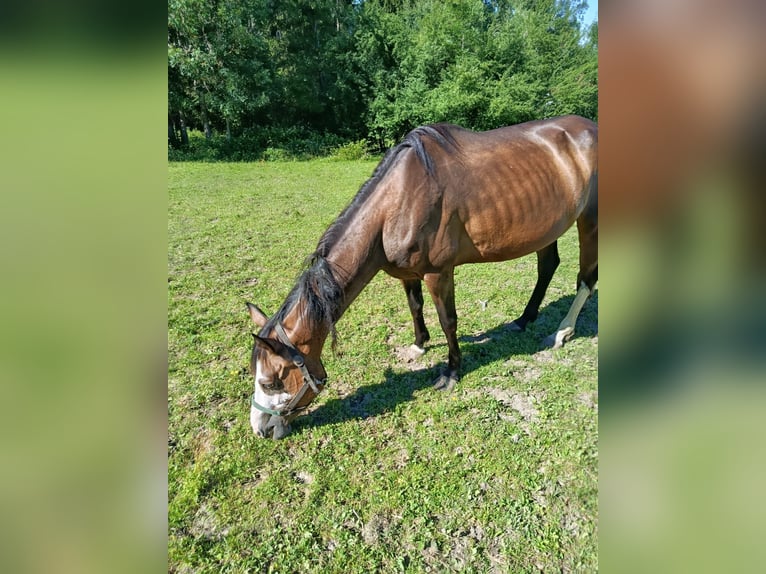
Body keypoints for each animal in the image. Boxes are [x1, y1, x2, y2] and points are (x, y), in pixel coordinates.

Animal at [246, 115, 597, 438]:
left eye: (271, 381)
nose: (261, 429)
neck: (398, 202)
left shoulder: (437, 273)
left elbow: (448, 320)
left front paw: (451, 372)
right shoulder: (408, 273)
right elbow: (415, 307)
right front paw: (418, 345)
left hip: (589, 220)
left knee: (586, 280)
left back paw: (561, 332)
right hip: (547, 227)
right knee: (548, 267)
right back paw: (524, 319)